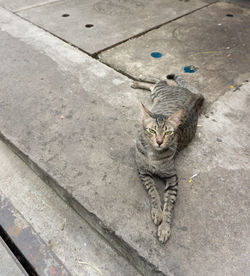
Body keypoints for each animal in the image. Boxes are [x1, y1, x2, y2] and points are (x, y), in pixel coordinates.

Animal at [131, 74, 203, 243]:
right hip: (159, 91)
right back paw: (139, 80)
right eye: (152, 131)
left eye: (168, 133)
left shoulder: (172, 177)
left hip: (160, 92)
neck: (153, 153)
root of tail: (194, 96)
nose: (159, 141)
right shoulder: (143, 171)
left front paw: (165, 227)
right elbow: (153, 193)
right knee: (157, 81)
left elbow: (169, 204)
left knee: (158, 82)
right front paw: (157, 212)